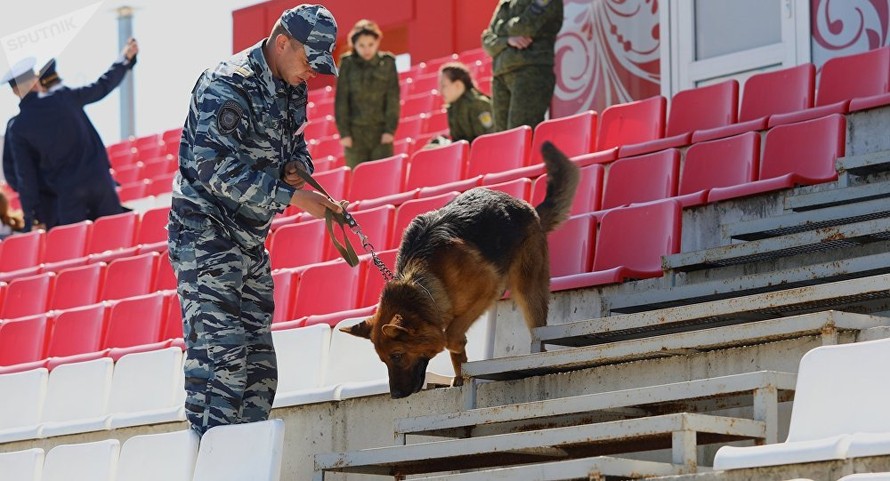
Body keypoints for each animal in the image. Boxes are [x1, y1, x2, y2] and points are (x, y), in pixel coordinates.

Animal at [338, 142, 576, 398]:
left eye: (397, 355)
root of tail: (529, 209)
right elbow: (454, 350)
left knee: (538, 332)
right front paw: (460, 377)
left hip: (528, 290)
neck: (424, 280)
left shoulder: (488, 288)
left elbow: (450, 336)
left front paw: (456, 348)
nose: (396, 396)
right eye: (384, 361)